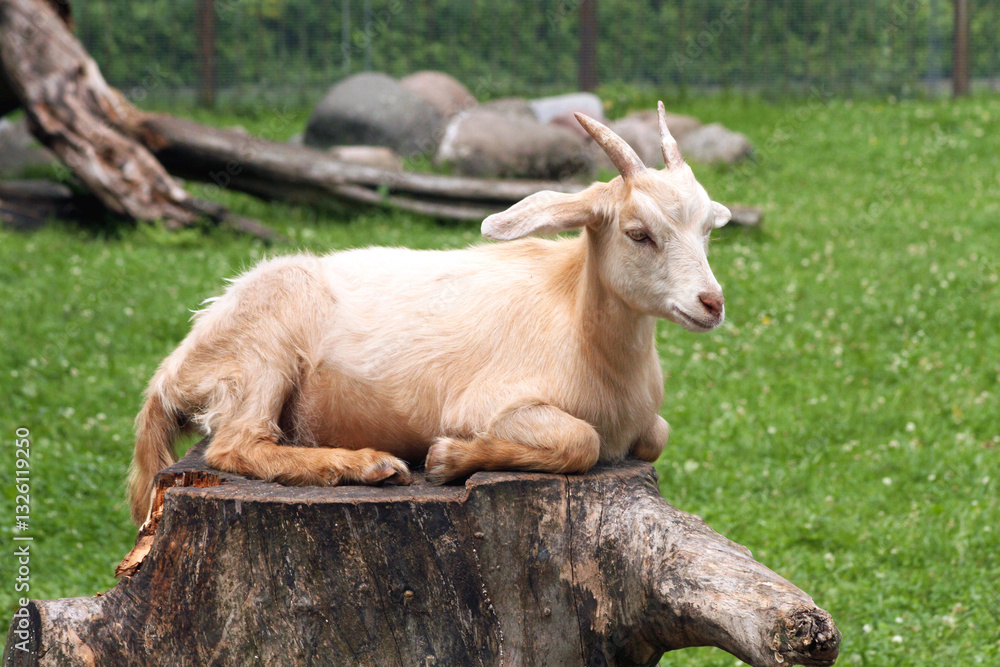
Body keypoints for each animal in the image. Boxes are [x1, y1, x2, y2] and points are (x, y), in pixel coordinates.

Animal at [128, 102, 731, 525]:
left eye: (707, 229)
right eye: (638, 233)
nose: (712, 303)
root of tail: (171, 373)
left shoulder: (646, 426)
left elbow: (657, 435)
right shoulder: (487, 403)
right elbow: (579, 442)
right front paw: (448, 459)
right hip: (260, 355)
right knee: (237, 444)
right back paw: (369, 465)